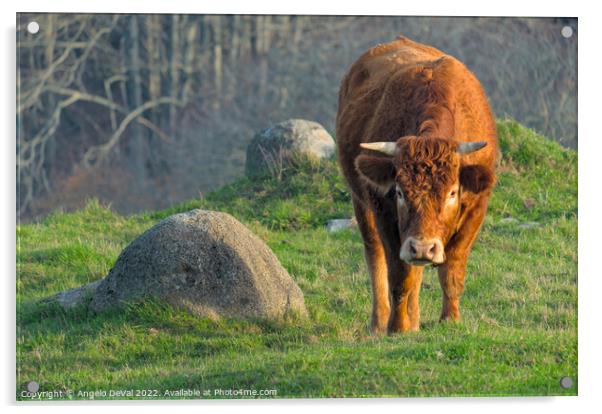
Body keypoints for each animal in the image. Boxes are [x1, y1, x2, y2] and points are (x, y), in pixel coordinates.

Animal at [336, 34, 494, 334]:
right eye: (398, 192)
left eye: (452, 192)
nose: (422, 247)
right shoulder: (385, 213)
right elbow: (399, 276)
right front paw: (397, 327)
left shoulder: (475, 210)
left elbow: (452, 271)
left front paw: (450, 320)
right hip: (362, 204)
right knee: (375, 257)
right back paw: (380, 322)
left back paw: (415, 319)